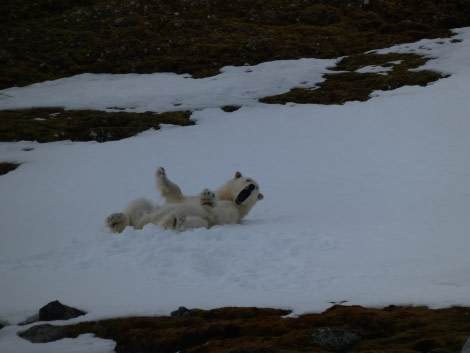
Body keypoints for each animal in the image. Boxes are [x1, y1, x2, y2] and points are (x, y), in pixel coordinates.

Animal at [104, 166, 262, 232]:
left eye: (257, 187)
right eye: (248, 180)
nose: (251, 187)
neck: (227, 197)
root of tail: (141, 226)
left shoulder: (232, 212)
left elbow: (222, 216)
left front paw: (208, 199)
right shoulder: (184, 198)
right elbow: (175, 193)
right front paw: (161, 172)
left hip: (197, 222)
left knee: (196, 221)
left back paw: (174, 220)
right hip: (145, 213)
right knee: (138, 204)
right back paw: (115, 219)